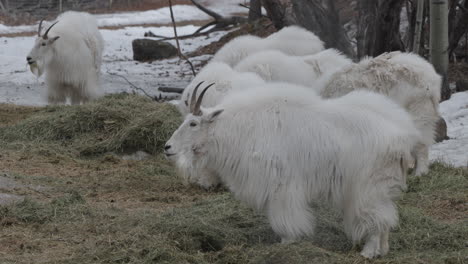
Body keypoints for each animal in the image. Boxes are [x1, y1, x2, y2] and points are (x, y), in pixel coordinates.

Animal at [166, 82, 422, 258]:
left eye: (193, 123)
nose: (167, 147)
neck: (241, 129)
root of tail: (404, 139)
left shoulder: (283, 187)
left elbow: (286, 218)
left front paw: (287, 243)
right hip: (379, 189)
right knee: (385, 219)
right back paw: (381, 251)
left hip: (367, 188)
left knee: (377, 219)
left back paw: (368, 252)